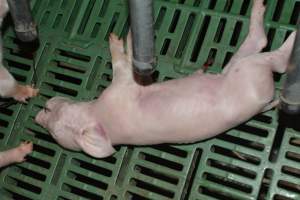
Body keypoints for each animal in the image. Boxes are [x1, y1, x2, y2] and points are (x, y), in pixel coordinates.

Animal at [35, 0, 296, 159]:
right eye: (55, 134)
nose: (40, 112)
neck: (101, 117)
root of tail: (267, 99)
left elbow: (125, 58)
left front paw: (126, 36)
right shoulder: (121, 89)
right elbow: (121, 66)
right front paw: (118, 40)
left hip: (236, 68)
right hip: (247, 70)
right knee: (270, 52)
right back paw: (290, 34)